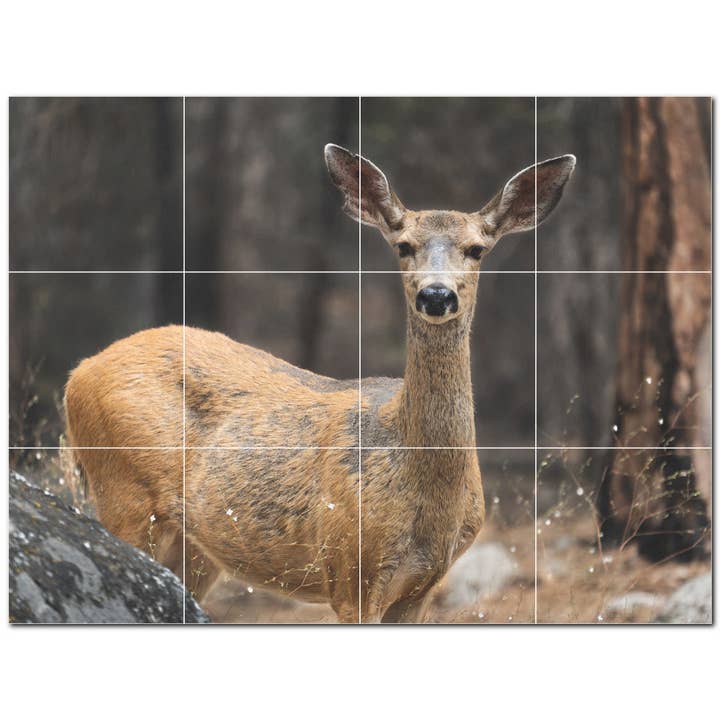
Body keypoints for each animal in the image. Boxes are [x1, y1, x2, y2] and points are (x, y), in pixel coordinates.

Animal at [64, 144, 575, 623]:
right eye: (404, 245)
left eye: (476, 249)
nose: (436, 294)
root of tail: (77, 373)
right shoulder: (351, 568)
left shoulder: (423, 587)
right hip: (124, 491)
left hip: (198, 544)